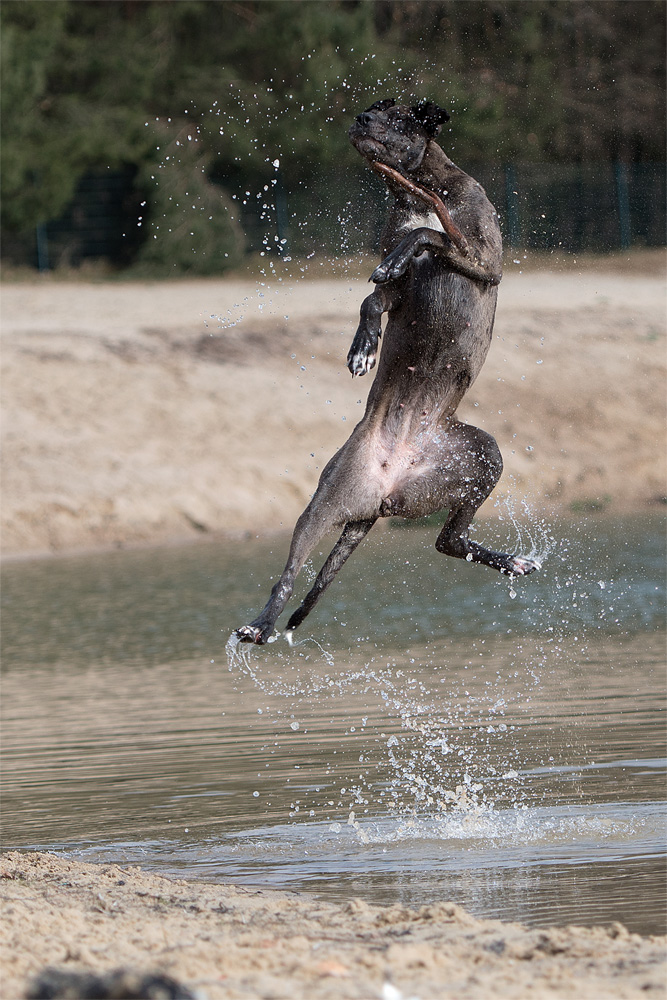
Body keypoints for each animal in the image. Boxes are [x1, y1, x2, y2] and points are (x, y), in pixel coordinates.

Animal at [237, 97, 540, 644]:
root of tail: (387, 489)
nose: (360, 121)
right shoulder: (400, 290)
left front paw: (404, 255)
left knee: (449, 540)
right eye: (371, 110)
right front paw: (363, 348)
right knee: (290, 574)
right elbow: (372, 296)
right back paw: (262, 624)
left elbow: (426, 234)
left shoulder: (481, 259)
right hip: (322, 506)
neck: (418, 187)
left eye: (398, 119)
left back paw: (512, 562)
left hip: (484, 455)